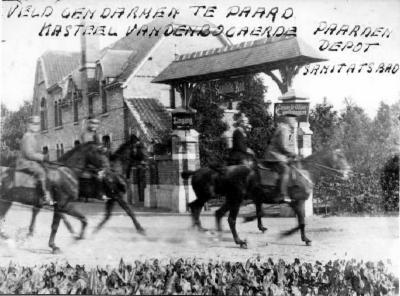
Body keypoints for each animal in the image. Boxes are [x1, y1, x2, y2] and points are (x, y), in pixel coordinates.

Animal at [181, 149, 350, 249]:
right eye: (340, 158)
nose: (349, 173)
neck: (304, 172)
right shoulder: (298, 202)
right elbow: (301, 222)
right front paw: (287, 235)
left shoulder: (293, 203)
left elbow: (299, 222)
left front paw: (303, 238)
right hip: (233, 199)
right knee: (226, 218)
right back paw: (238, 241)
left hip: (229, 199)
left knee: (215, 213)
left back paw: (215, 234)